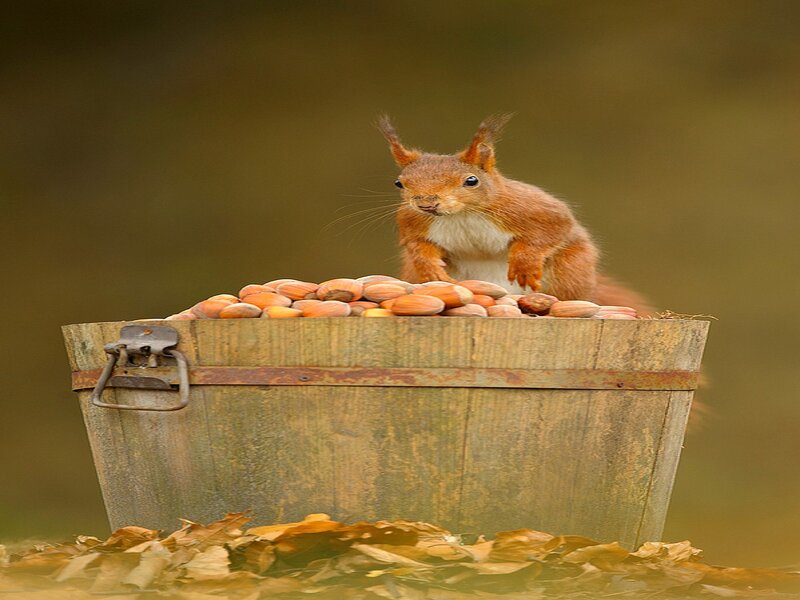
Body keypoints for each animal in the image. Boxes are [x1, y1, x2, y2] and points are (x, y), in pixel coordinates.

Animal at [377, 115, 652, 315]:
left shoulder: (530, 209)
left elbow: (553, 229)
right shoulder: (412, 222)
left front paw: (525, 264)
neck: (462, 214)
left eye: (471, 180)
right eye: (399, 183)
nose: (426, 204)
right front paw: (431, 269)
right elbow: (417, 245)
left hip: (570, 271)